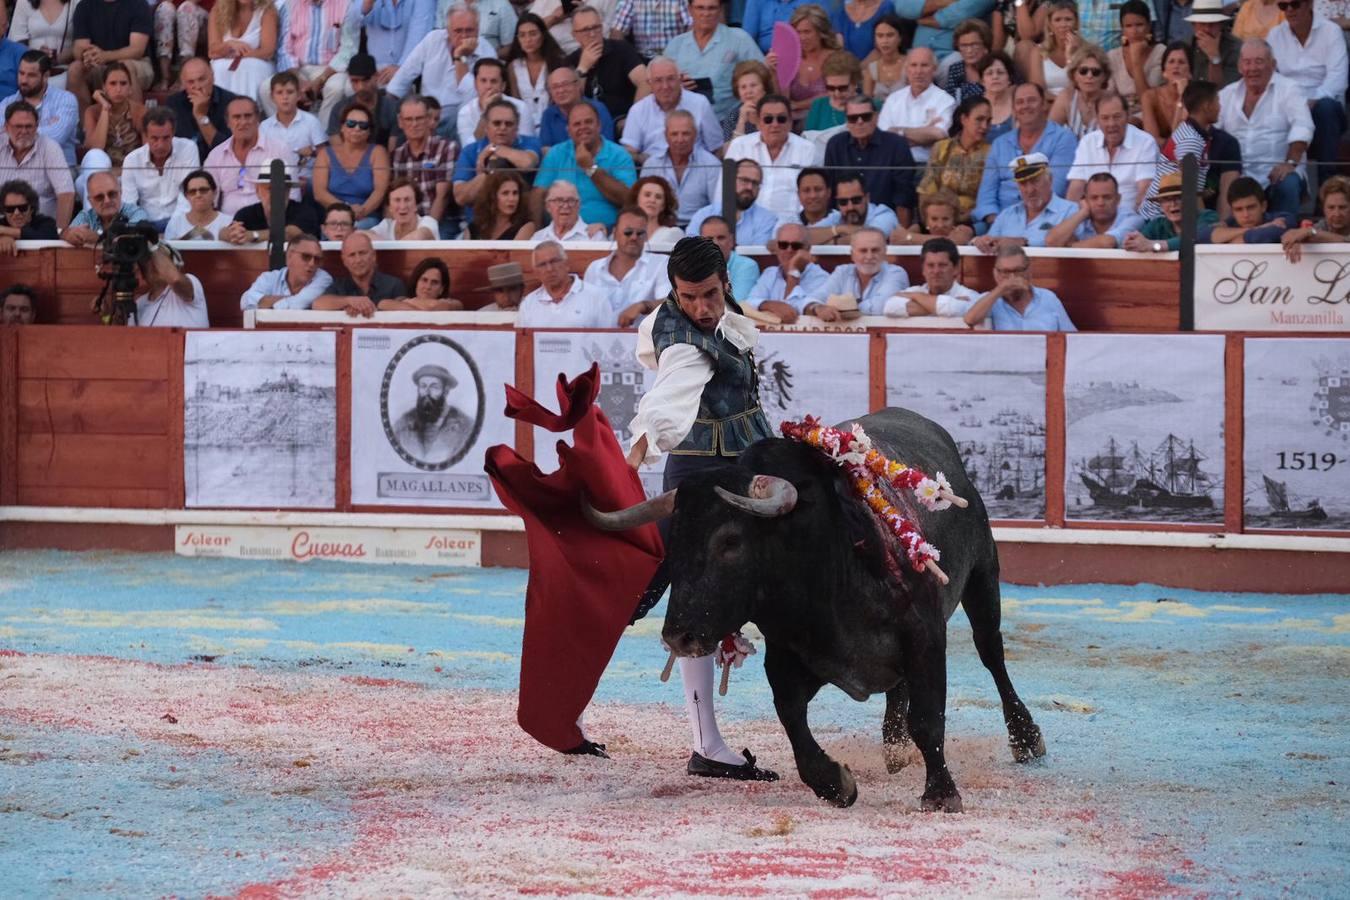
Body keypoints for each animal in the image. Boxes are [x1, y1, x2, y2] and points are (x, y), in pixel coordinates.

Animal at [588, 407, 1042, 809]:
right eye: (673, 542)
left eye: (731, 541)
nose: (677, 635)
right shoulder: (786, 656)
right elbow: (792, 719)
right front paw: (835, 783)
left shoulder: (926, 637)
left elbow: (929, 718)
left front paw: (941, 793)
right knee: (901, 688)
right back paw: (894, 745)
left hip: (983, 575)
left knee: (991, 651)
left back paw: (1025, 737)